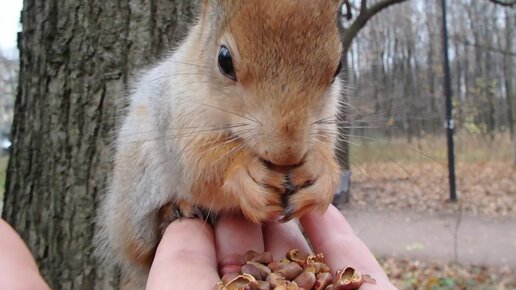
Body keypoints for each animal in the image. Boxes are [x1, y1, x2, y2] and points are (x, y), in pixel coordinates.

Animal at [95, 0, 346, 288]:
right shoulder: (179, 115)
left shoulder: (325, 122)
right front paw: (243, 170)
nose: (286, 153)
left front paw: (320, 172)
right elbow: (199, 166)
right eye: (224, 60)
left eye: (338, 67)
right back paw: (173, 210)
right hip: (137, 183)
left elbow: (324, 146)